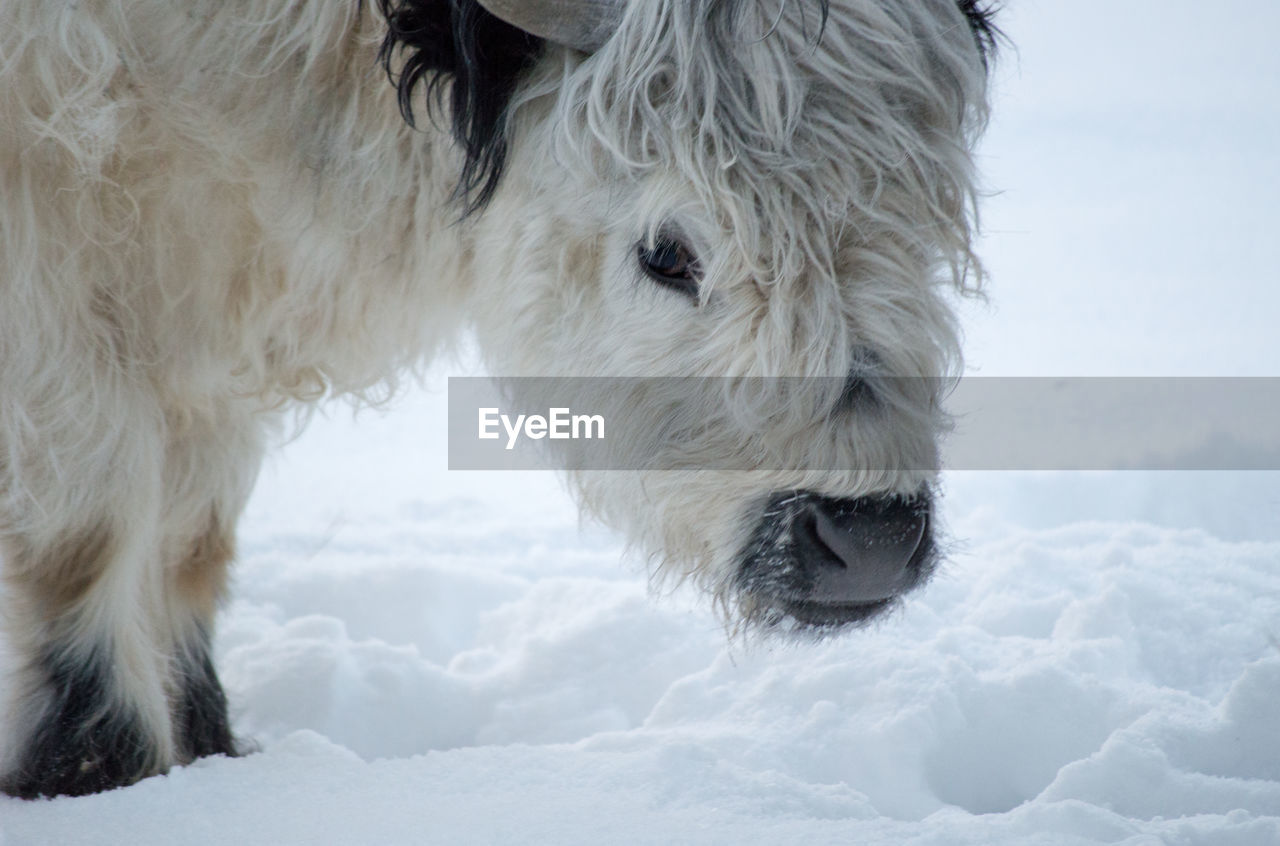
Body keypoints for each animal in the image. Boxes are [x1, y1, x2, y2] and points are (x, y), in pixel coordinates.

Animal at [0, 0, 993, 793]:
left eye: (925, 217)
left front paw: (207, 754)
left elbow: (191, 540)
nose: (867, 540)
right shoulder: (54, 280)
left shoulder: (197, 327)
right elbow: (86, 532)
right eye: (669, 252)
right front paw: (93, 775)